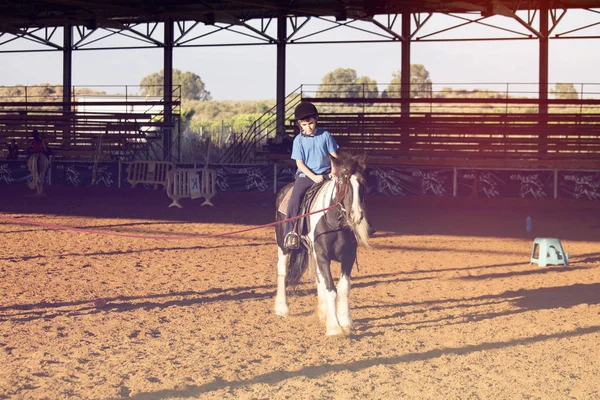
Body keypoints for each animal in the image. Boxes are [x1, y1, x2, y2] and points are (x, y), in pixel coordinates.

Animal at [276, 152, 370, 336]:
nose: (355, 215)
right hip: (283, 245)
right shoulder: (323, 256)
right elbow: (331, 289)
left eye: (363, 181)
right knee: (282, 271)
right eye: (340, 181)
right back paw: (282, 308)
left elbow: (343, 288)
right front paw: (334, 328)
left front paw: (345, 321)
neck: (335, 222)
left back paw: (323, 312)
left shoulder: (348, 257)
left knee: (319, 278)